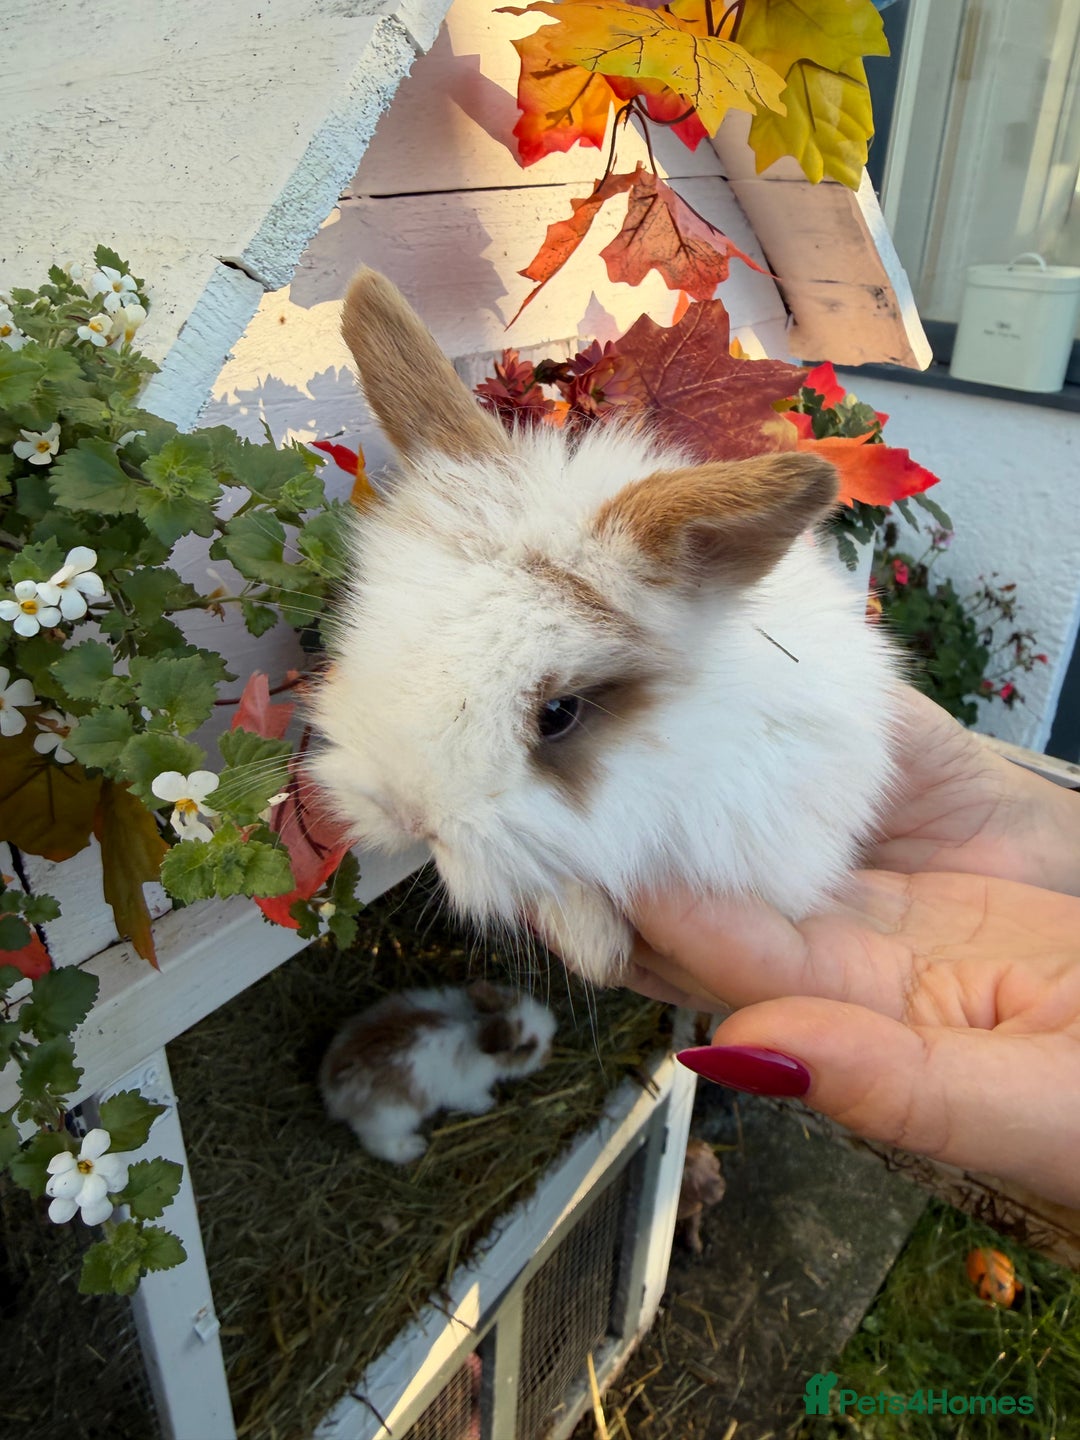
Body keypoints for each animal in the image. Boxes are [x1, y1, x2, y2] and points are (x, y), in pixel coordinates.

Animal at [319, 981, 556, 1164]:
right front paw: (487, 1104)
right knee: (379, 1144)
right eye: (526, 1047)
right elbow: (472, 1099)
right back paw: (414, 1147)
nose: (548, 1055)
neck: (476, 1023)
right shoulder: (464, 1089)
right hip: (390, 1118)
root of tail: (333, 1089)